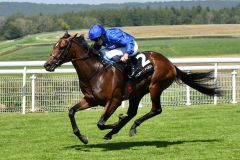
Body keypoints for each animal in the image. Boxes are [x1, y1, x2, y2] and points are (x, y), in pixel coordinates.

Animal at [43, 31, 221, 144]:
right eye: (53, 46)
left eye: (62, 47)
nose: (47, 65)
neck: (96, 72)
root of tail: (170, 63)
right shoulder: (91, 100)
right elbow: (71, 112)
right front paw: (83, 138)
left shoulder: (114, 100)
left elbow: (100, 123)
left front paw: (116, 122)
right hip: (137, 93)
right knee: (132, 113)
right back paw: (117, 130)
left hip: (155, 87)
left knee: (155, 110)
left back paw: (128, 127)